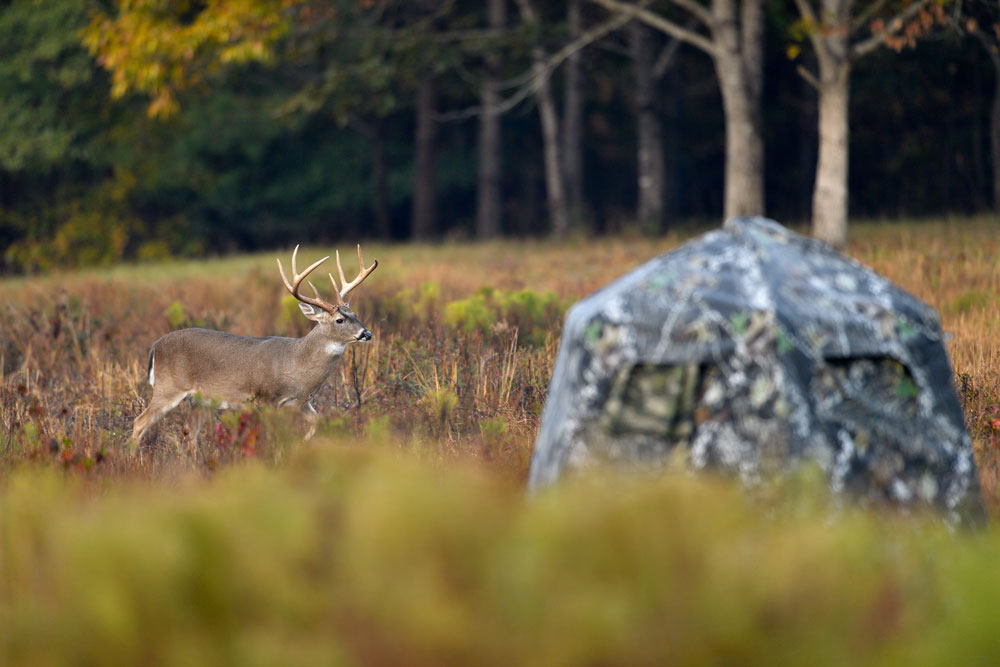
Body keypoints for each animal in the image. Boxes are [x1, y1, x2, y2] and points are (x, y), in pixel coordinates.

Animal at [133, 245, 378, 444]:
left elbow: (315, 424)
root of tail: (155, 346)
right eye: (339, 320)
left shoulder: (301, 402)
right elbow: (275, 438)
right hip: (169, 387)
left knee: (188, 432)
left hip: (200, 400)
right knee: (139, 423)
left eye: (355, 314)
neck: (298, 363)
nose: (366, 333)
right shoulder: (267, 399)